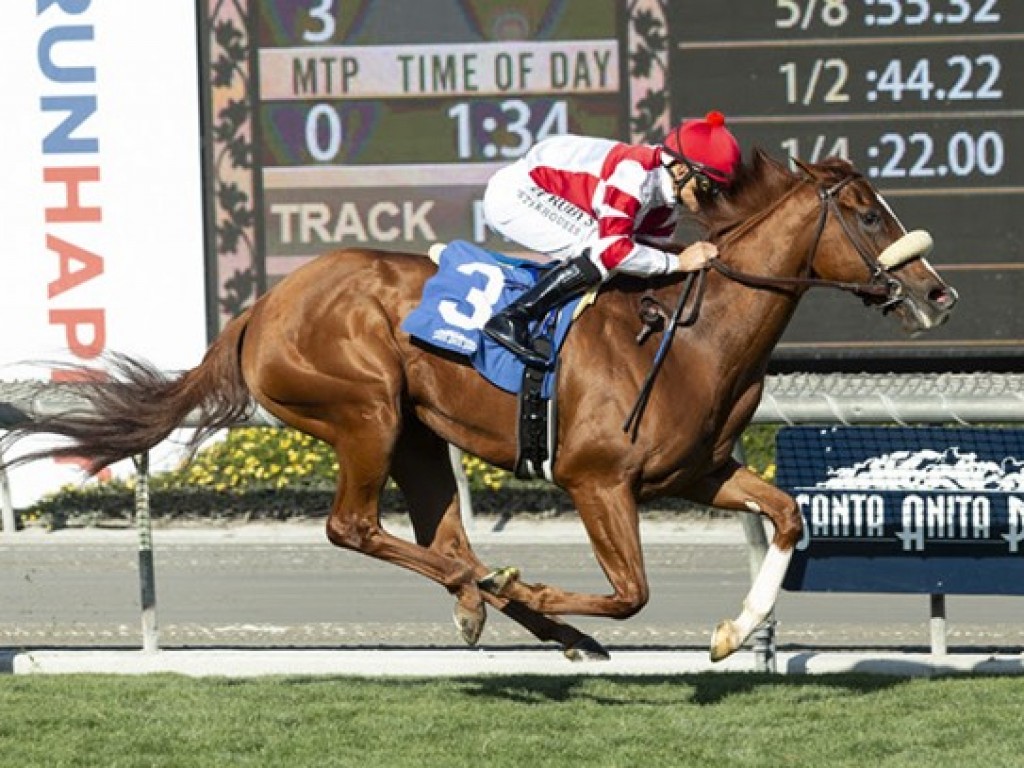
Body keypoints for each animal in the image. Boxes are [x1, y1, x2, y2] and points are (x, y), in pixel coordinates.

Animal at [4, 150, 954, 663]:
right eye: (867, 214)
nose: (937, 293)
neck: (692, 334)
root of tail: (262, 308)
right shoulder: (594, 479)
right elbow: (631, 594)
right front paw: (537, 588)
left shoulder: (699, 471)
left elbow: (788, 516)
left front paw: (733, 633)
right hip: (366, 411)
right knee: (355, 528)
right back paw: (500, 592)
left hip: (419, 435)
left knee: (438, 538)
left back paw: (497, 602)